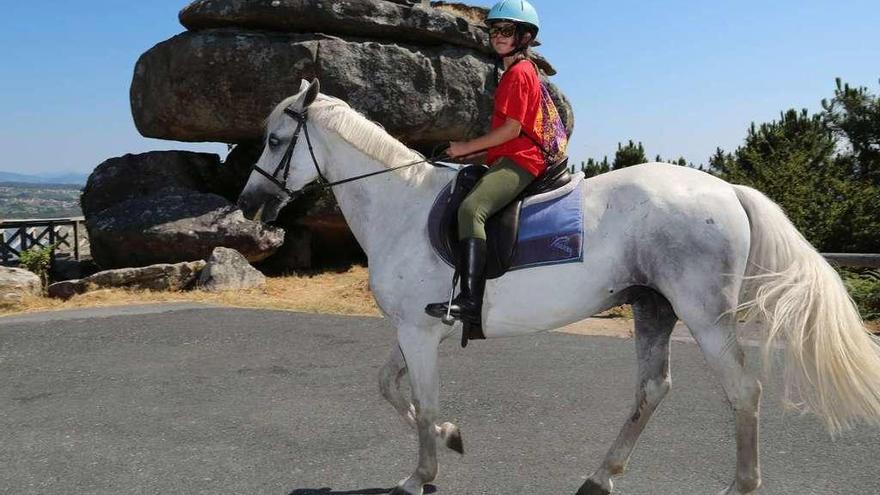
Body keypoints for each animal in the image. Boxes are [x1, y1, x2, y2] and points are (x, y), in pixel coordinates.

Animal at [237, 80, 880, 495]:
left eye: (275, 141)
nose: (248, 204)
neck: (401, 204)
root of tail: (728, 191)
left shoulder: (419, 333)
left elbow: (422, 403)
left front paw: (421, 474)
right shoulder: (417, 330)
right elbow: (391, 388)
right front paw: (451, 439)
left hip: (704, 316)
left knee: (743, 392)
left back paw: (739, 486)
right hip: (654, 309)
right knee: (652, 389)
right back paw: (601, 476)